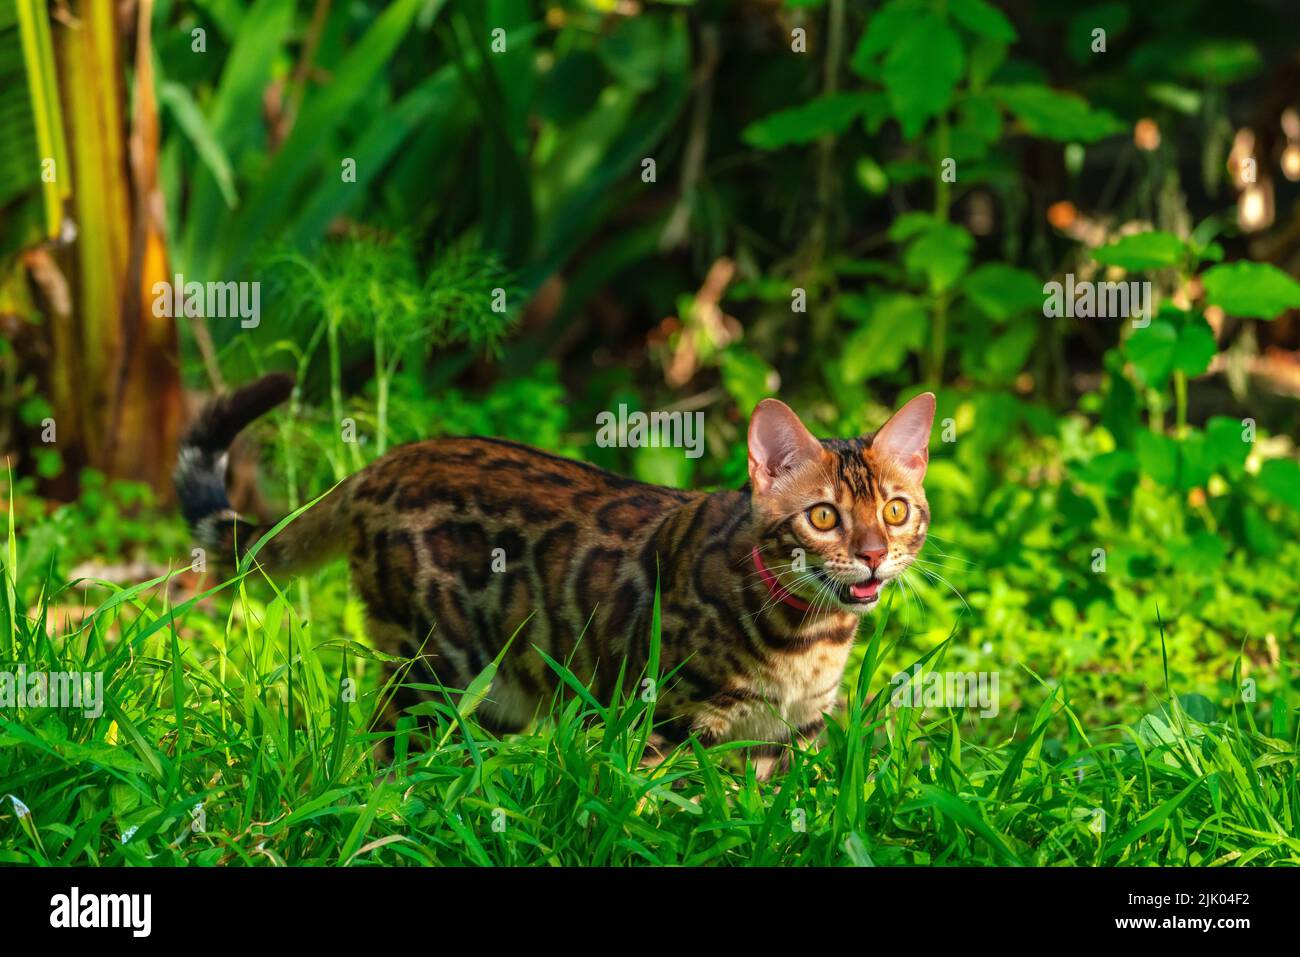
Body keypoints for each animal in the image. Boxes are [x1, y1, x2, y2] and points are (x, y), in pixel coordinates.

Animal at [178, 369, 935, 774]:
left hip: (495, 695)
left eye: (895, 510)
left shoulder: (788, 741)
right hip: (435, 671)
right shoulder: (663, 724)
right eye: (824, 517)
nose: (874, 552)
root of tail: (382, 464)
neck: (808, 639)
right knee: (384, 751)